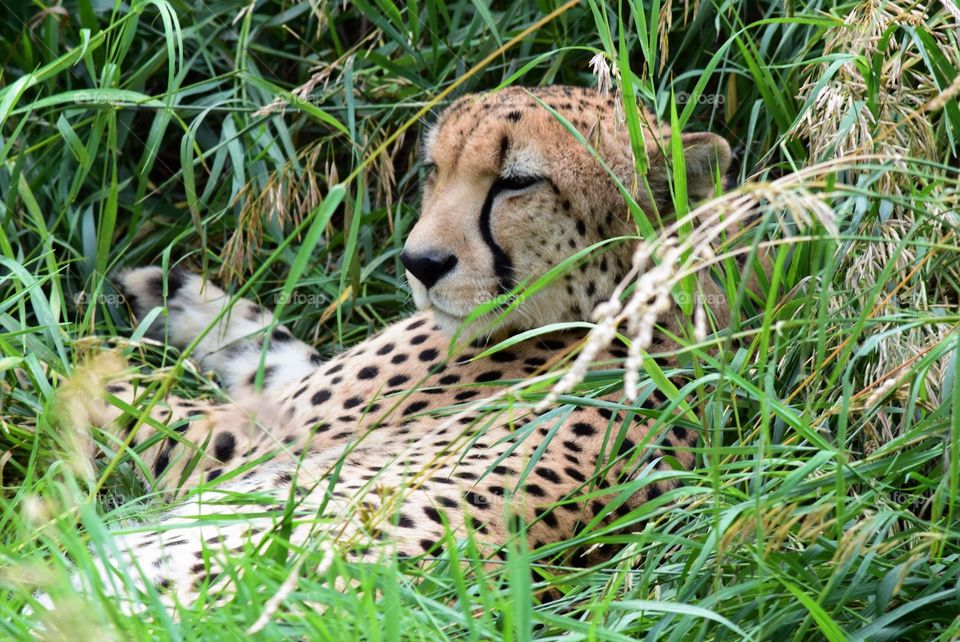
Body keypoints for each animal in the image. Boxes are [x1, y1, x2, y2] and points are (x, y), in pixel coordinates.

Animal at [63, 84, 733, 610]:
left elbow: (108, 394)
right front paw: (169, 295)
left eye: (517, 183)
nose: (420, 263)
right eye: (436, 169)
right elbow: (268, 345)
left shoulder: (233, 444)